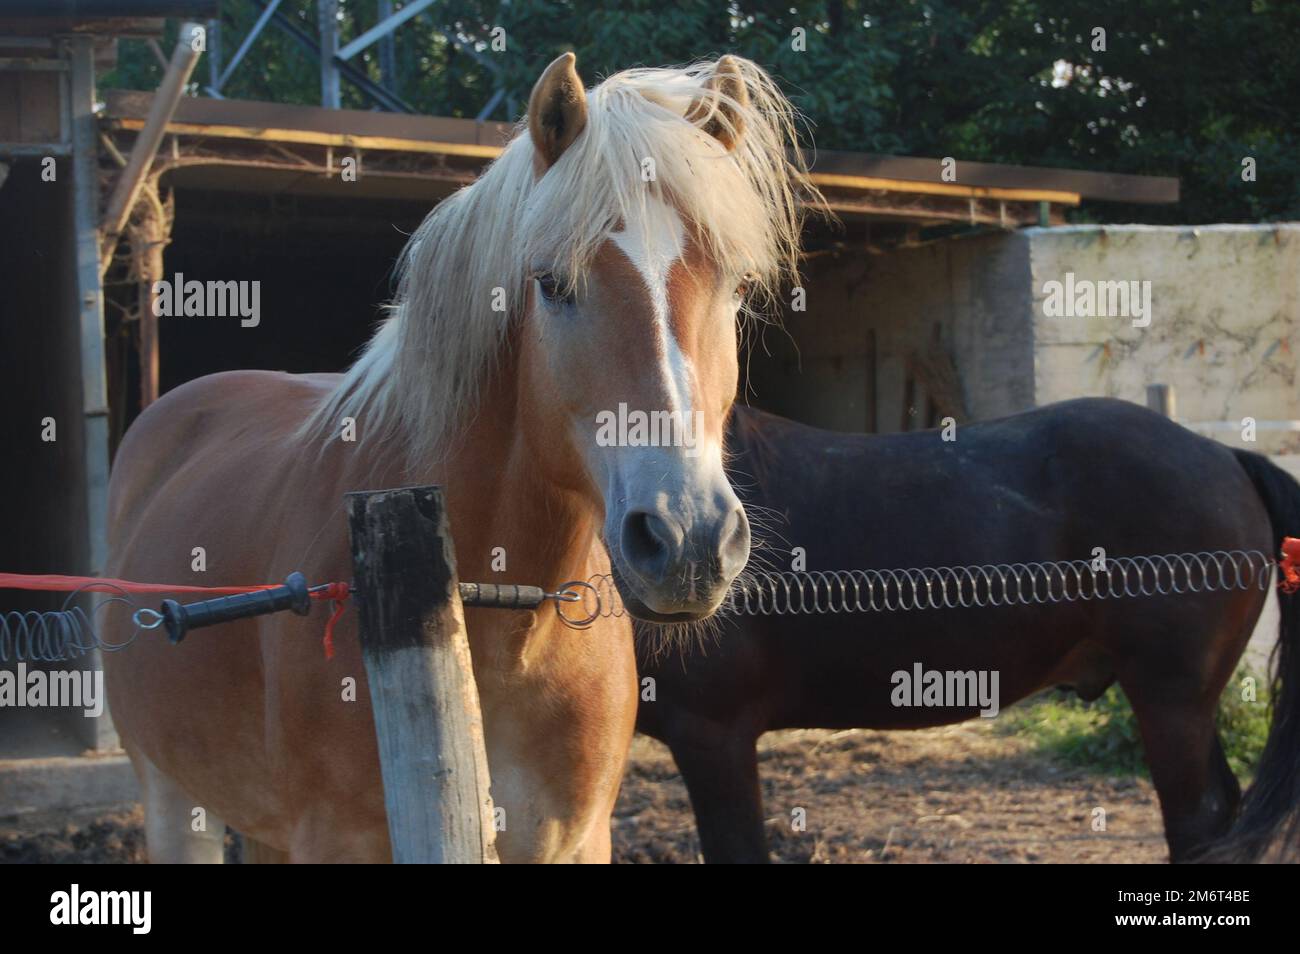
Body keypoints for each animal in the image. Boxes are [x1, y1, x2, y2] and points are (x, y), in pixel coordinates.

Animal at [104, 54, 811, 868]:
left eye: (737, 286)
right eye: (551, 282)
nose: (688, 538)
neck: (496, 633)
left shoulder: (577, 842)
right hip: (172, 799)